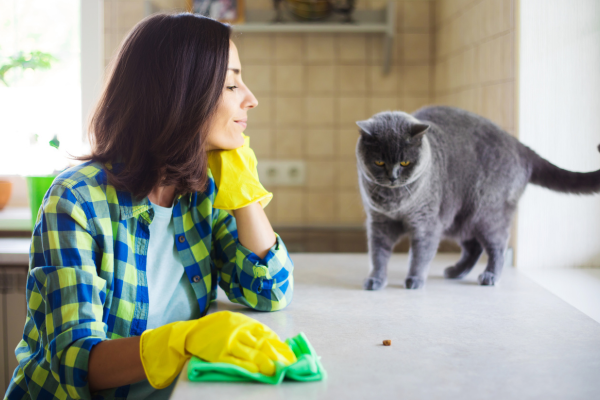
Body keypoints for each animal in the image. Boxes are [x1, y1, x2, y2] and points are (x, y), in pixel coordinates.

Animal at [356, 104, 600, 290]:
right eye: (379, 162)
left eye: (405, 162)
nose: (393, 176)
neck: (394, 202)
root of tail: (519, 145)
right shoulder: (379, 222)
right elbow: (378, 254)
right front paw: (375, 280)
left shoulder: (426, 223)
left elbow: (420, 254)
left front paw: (414, 280)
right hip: (461, 218)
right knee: (474, 247)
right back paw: (455, 271)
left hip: (487, 213)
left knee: (497, 245)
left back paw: (490, 276)